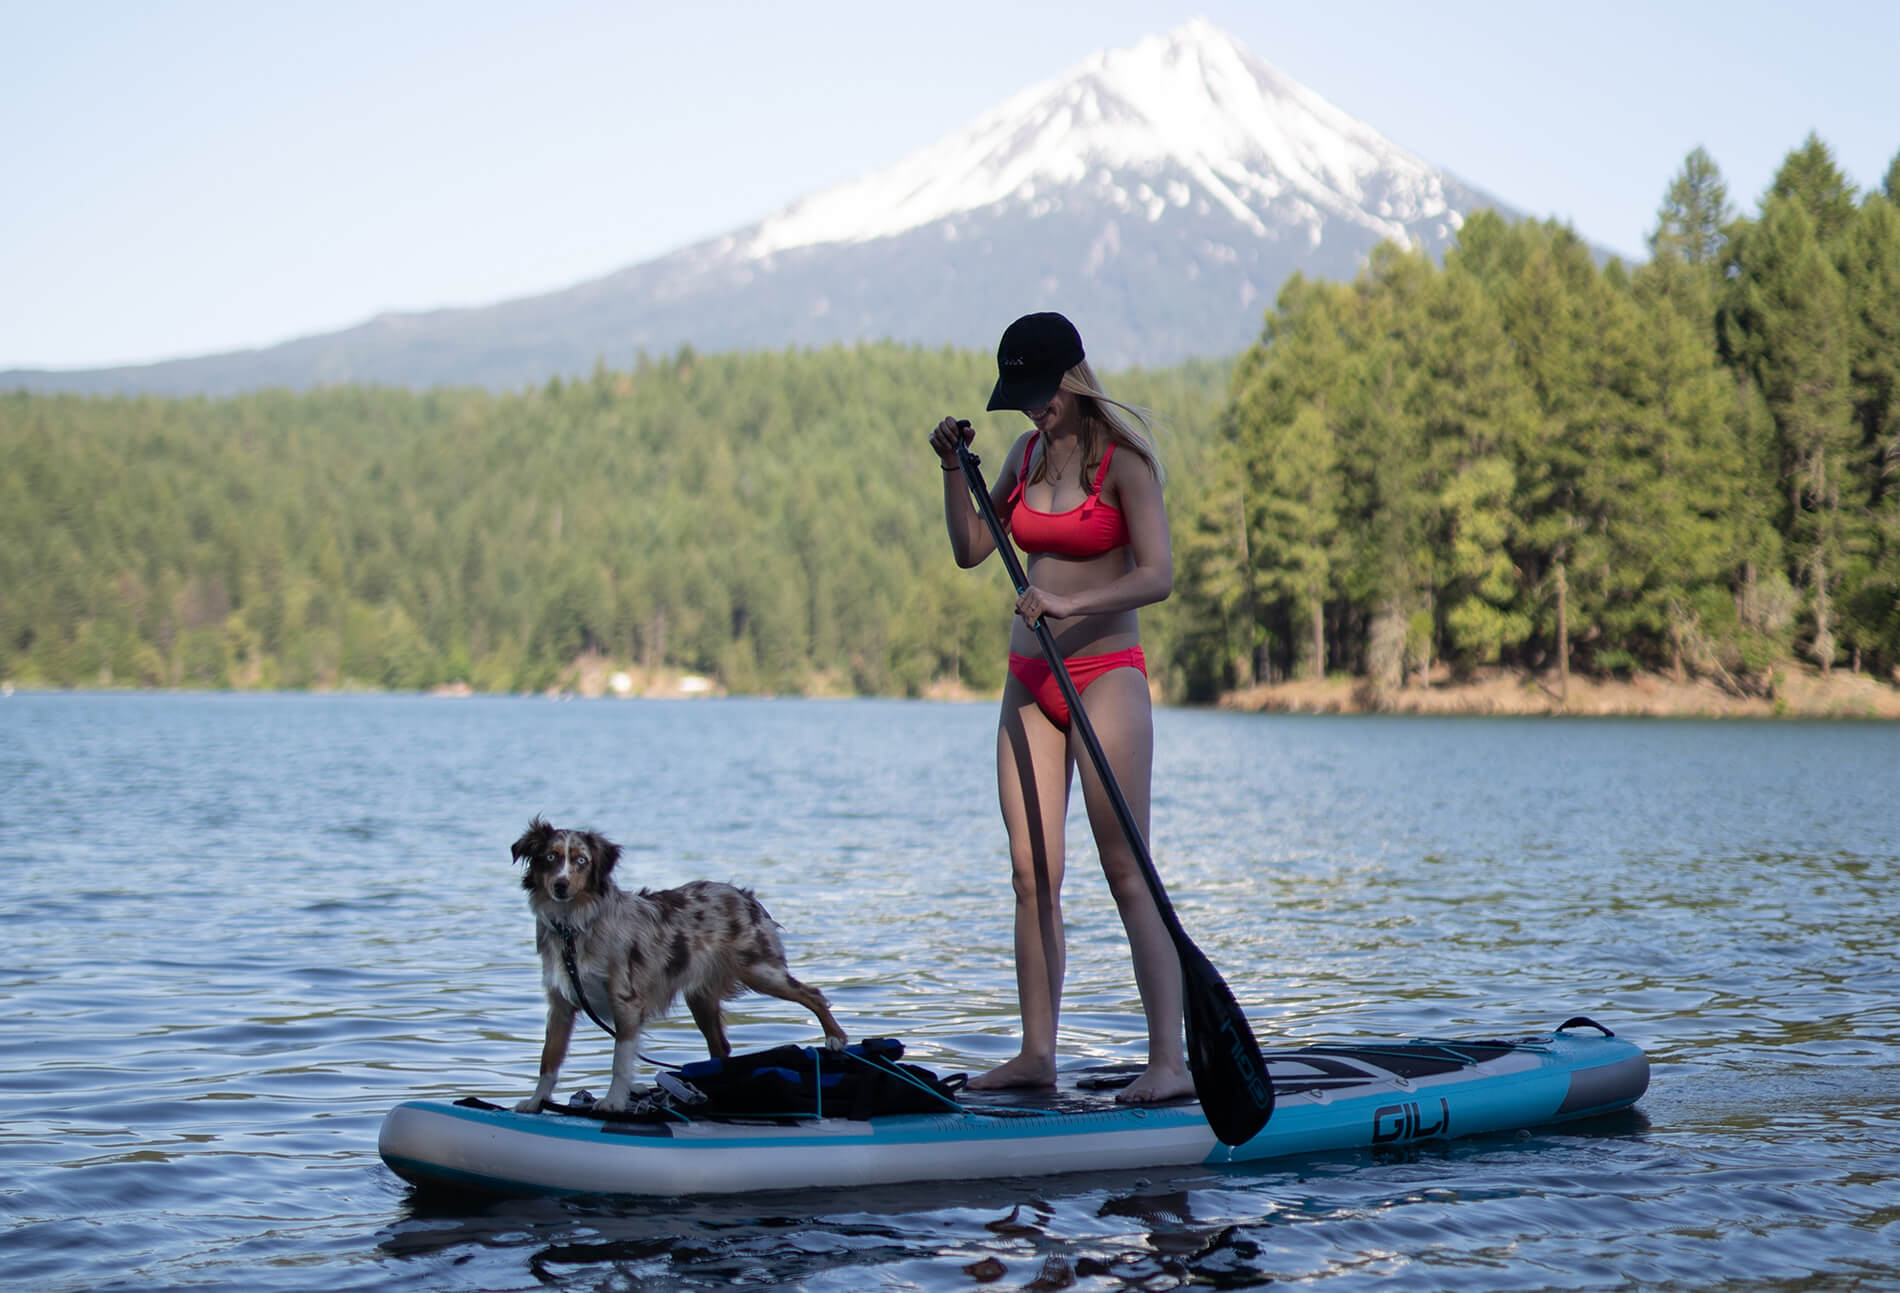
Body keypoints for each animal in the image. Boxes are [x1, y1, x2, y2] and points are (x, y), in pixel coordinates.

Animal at [509, 816, 843, 1108]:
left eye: (581, 861)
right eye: (550, 857)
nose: (561, 885)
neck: (573, 928)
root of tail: (744, 894)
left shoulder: (626, 1001)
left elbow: (620, 1062)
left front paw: (614, 1101)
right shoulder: (561, 1004)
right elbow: (548, 1059)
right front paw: (536, 1101)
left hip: (760, 971)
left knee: (812, 994)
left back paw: (835, 1038)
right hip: (701, 997)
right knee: (721, 1047)